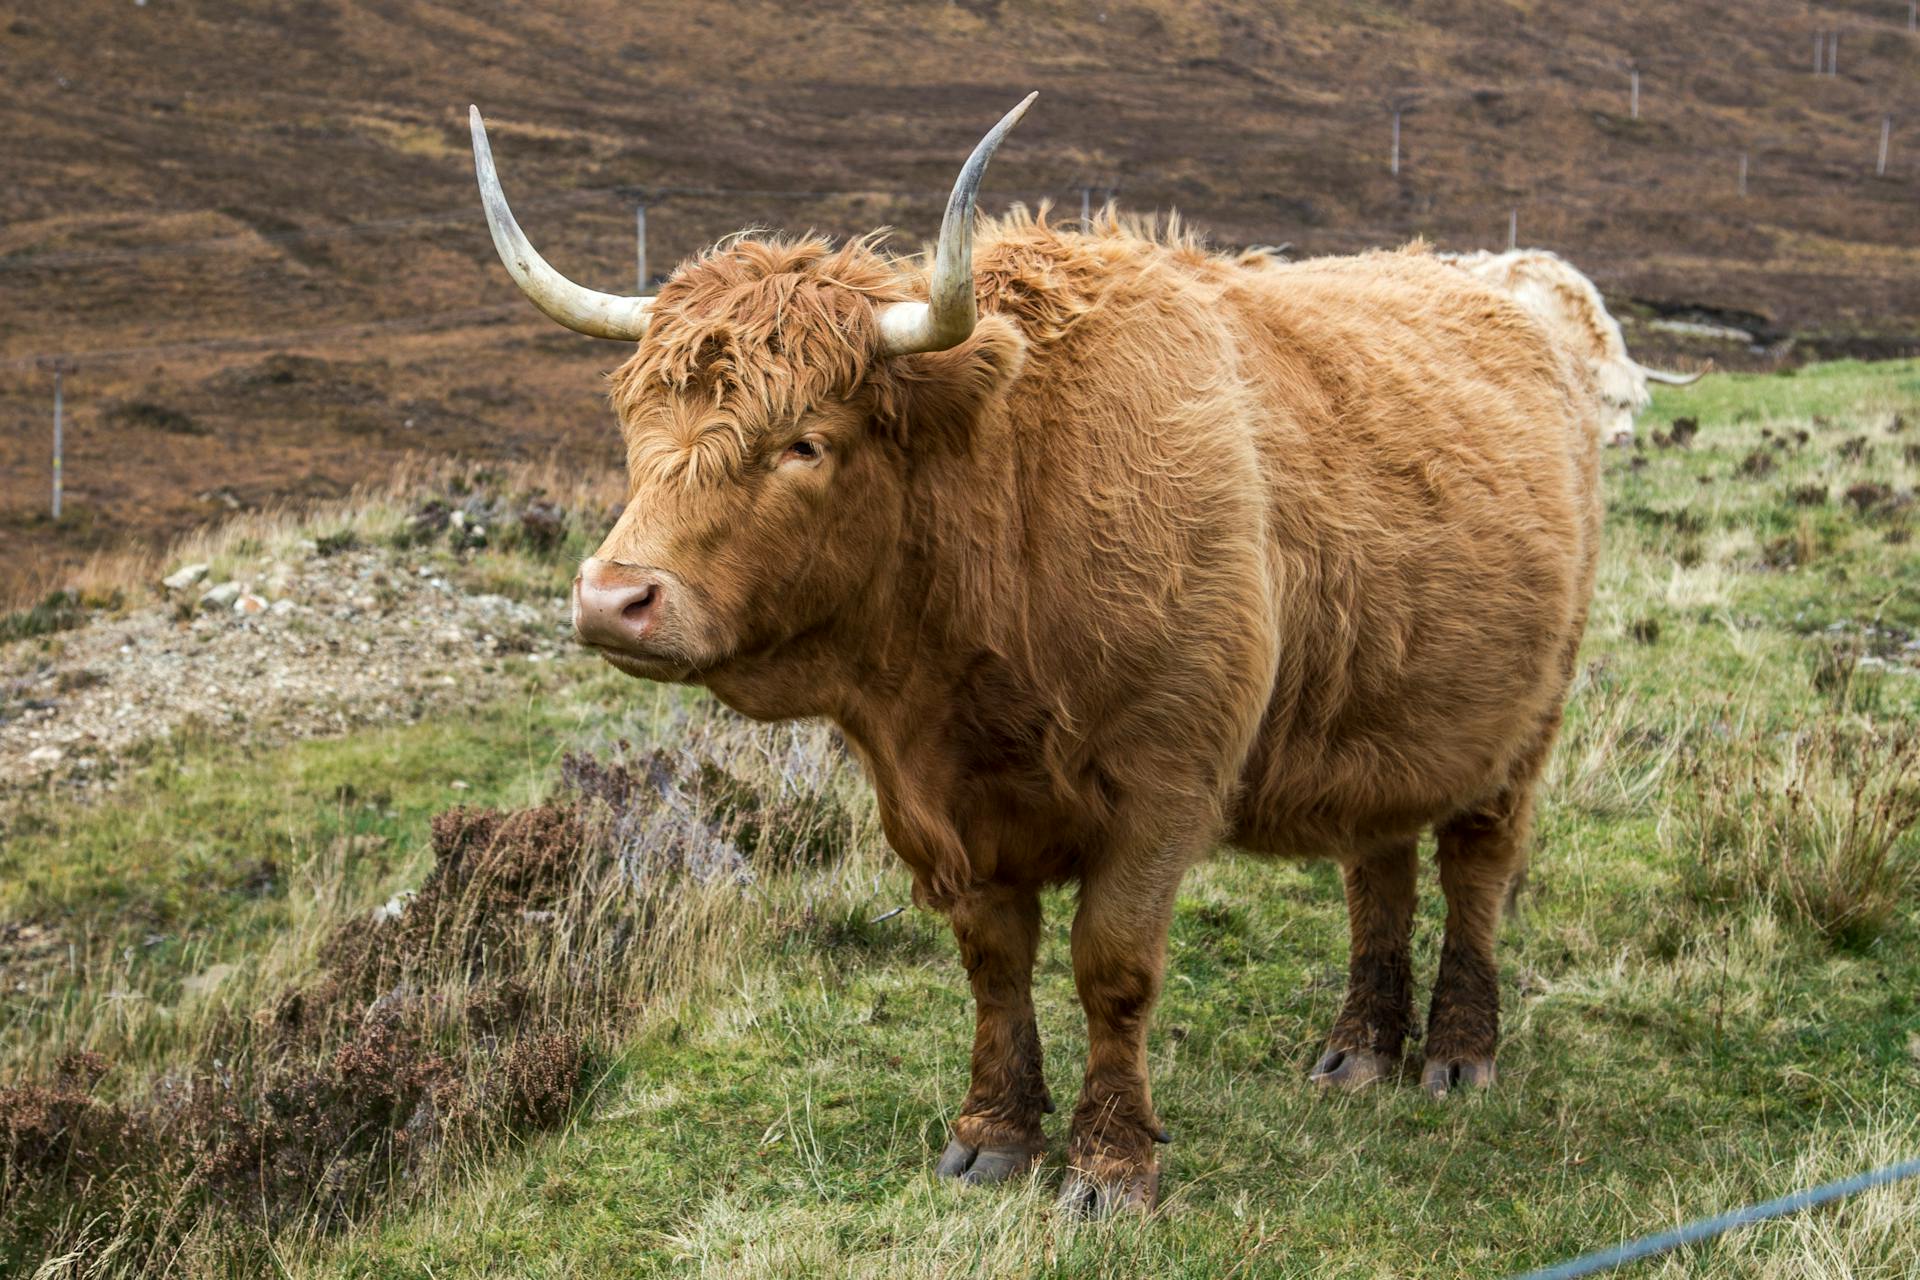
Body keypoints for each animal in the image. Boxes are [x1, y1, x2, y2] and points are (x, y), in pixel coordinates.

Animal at [468, 97, 1605, 1212]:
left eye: (805, 442)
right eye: (635, 423)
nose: (614, 599)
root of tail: (1498, 283)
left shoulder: (1163, 784)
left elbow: (1113, 967)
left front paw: (1112, 1164)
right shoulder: (944, 808)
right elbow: (994, 963)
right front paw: (994, 1134)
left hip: (1523, 722)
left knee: (1476, 865)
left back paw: (1457, 1051)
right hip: (1382, 714)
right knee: (1379, 865)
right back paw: (1360, 1046)